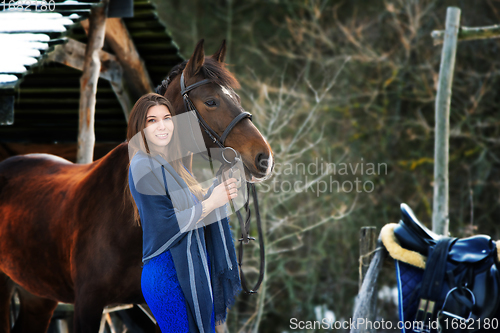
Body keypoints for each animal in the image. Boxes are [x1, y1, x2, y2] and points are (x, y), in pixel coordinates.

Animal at [0, 40, 274, 332]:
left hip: (38, 296)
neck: (126, 217)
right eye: (211, 101)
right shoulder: (87, 304)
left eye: (237, 99)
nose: (264, 158)